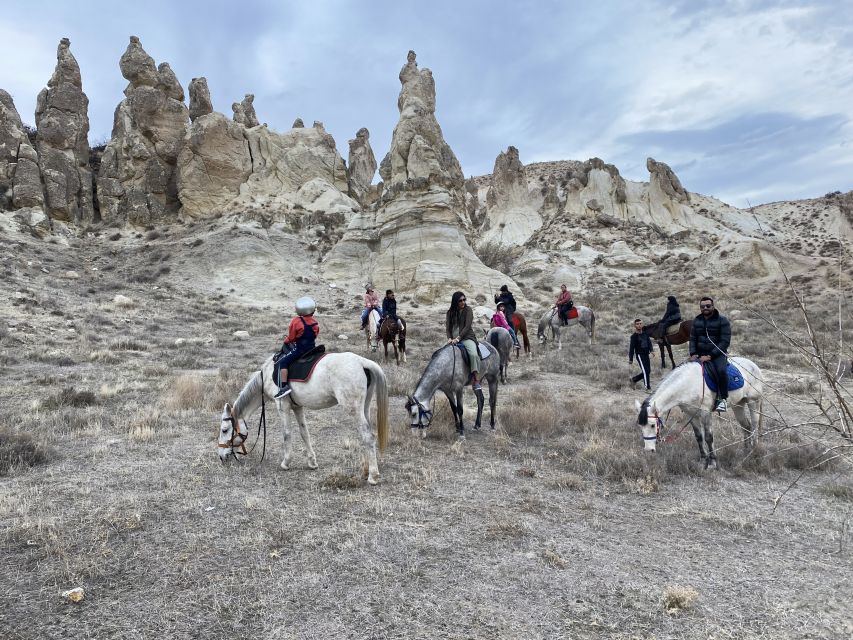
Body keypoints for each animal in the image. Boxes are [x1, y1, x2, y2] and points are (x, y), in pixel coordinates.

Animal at [220, 350, 392, 484]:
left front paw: (286, 462)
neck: (268, 374)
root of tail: (362, 362)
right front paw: (312, 462)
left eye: (224, 430)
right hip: (364, 408)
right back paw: (366, 469)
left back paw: (373, 476)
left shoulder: (282, 407)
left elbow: (287, 434)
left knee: (367, 437)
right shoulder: (298, 407)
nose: (221, 457)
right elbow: (305, 433)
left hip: (354, 410)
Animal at [632, 358, 764, 468]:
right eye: (640, 426)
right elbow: (699, 437)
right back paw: (745, 450)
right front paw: (703, 460)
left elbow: (709, 437)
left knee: (754, 425)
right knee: (746, 426)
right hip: (738, 405)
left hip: (753, 402)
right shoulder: (691, 414)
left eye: (653, 425)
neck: (688, 384)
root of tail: (754, 365)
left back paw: (754, 449)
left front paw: (712, 462)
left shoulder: (705, 413)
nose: (649, 450)